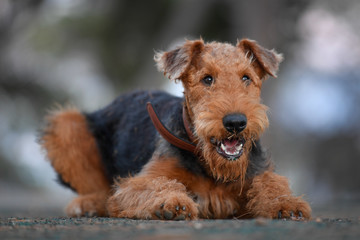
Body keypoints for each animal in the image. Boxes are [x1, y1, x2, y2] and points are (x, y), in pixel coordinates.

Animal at [41, 38, 312, 220]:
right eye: (207, 79)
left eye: (246, 78)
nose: (235, 122)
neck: (211, 167)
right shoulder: (138, 182)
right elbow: (157, 185)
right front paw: (171, 203)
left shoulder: (256, 174)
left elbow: (271, 184)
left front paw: (286, 204)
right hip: (66, 123)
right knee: (96, 188)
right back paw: (87, 205)